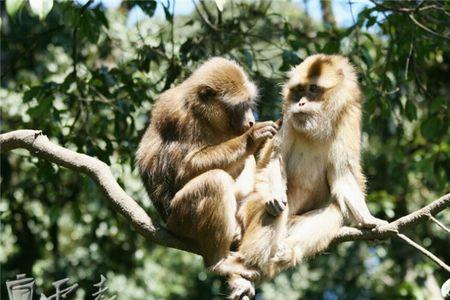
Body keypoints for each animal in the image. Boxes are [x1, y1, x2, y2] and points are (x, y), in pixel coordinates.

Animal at [135, 57, 280, 280]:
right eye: (240, 106)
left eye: (249, 104)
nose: (251, 121)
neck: (202, 115)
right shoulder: (181, 118)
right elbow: (183, 171)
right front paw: (252, 137)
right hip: (181, 220)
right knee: (215, 181)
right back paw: (217, 262)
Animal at [227, 54, 388, 300]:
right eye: (300, 90)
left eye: (313, 89)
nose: (301, 103)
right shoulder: (287, 119)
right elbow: (275, 159)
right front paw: (274, 196)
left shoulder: (348, 120)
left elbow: (343, 178)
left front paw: (369, 219)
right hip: (246, 211)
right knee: (271, 209)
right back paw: (244, 267)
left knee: (335, 210)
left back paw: (287, 253)